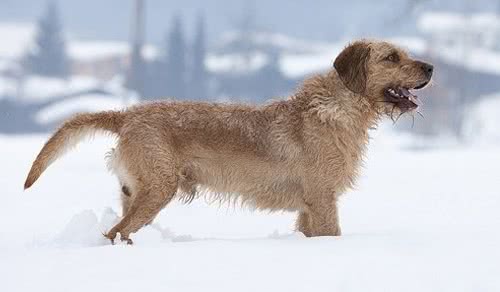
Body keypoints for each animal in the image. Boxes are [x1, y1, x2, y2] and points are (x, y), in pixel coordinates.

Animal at [23, 39, 432, 244]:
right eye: (391, 57)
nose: (430, 67)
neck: (341, 106)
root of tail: (126, 115)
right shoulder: (322, 199)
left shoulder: (309, 208)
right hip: (158, 189)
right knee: (117, 232)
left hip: (136, 192)